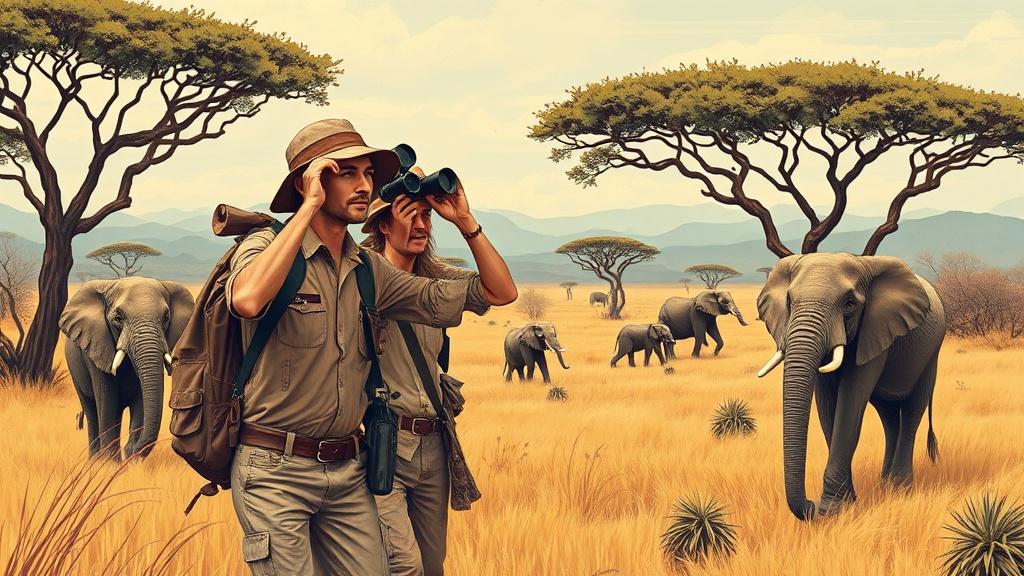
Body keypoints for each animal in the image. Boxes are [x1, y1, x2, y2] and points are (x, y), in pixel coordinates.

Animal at [59, 277, 194, 461]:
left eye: (166, 317)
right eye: (118, 317)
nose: (130, 449)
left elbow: (141, 399)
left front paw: (130, 460)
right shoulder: (96, 347)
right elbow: (106, 399)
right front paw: (109, 463)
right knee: (92, 412)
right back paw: (94, 459)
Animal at [755, 253, 946, 521]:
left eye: (849, 303)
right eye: (789, 302)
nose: (811, 506)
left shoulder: (874, 328)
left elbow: (850, 404)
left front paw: (833, 508)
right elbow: (827, 408)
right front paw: (845, 502)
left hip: (930, 352)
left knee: (912, 410)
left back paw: (900, 487)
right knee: (888, 416)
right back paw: (886, 483)